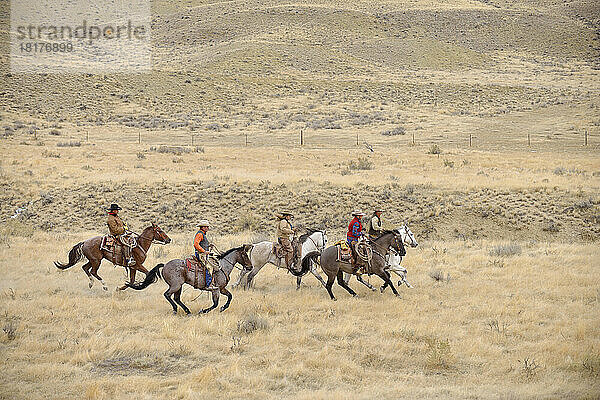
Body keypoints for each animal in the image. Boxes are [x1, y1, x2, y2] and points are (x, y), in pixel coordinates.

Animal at [125, 245, 258, 314]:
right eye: (245, 255)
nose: (250, 267)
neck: (222, 267)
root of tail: (165, 264)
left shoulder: (222, 288)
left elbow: (230, 296)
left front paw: (223, 308)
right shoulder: (215, 289)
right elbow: (215, 304)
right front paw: (203, 311)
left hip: (179, 286)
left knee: (176, 298)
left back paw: (187, 311)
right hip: (176, 285)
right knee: (167, 295)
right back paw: (176, 309)